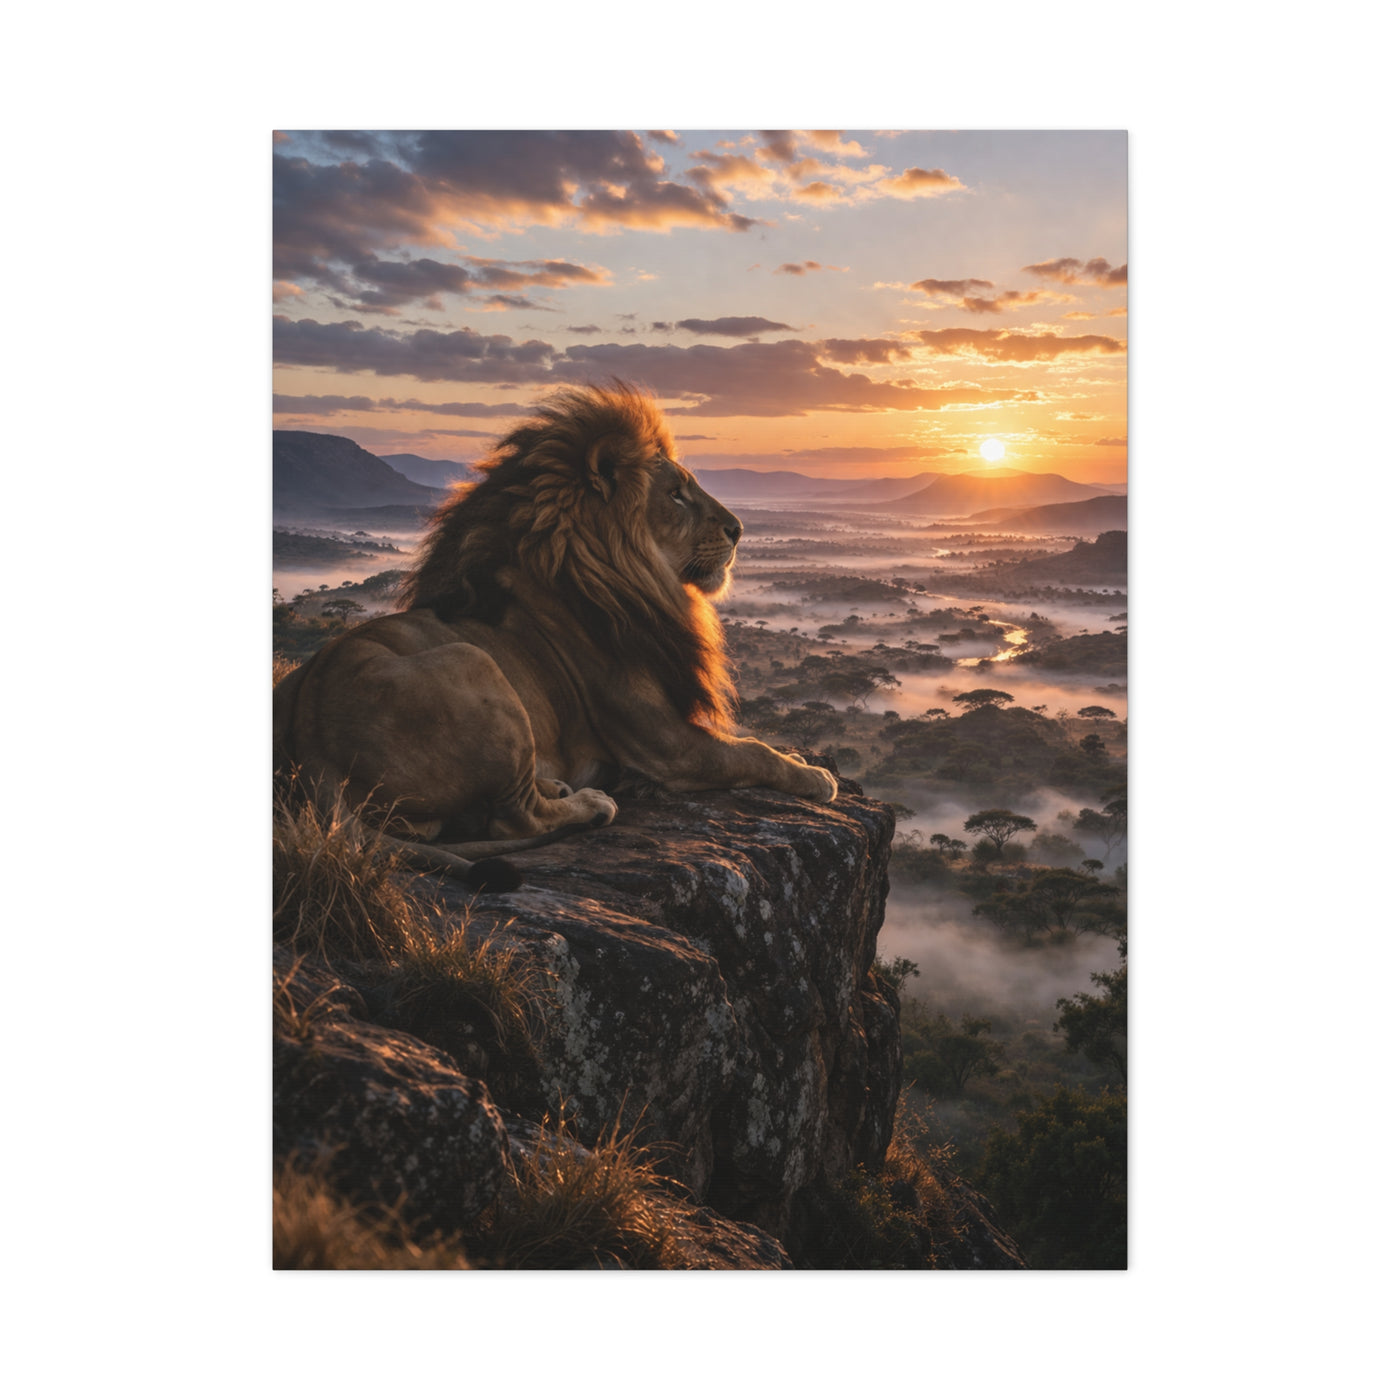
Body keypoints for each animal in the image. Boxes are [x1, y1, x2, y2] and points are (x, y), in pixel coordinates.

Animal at [273, 383, 838, 889]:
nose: (739, 529)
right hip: (474, 662)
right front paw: (814, 775)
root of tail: (312, 742)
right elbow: (751, 751)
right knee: (514, 818)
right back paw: (590, 802)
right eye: (676, 494)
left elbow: (749, 743)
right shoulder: (667, 743)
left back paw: (558, 786)